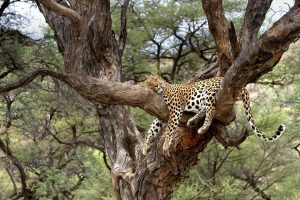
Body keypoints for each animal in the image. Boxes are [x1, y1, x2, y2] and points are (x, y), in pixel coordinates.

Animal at [143, 75, 286, 155]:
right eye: (149, 83)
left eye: (156, 79)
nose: (157, 85)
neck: (163, 90)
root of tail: (244, 87)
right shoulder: (160, 116)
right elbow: (152, 130)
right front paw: (145, 147)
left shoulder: (176, 109)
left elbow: (169, 129)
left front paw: (166, 144)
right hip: (202, 99)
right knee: (205, 109)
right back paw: (192, 121)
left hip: (209, 91)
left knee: (211, 110)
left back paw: (203, 127)